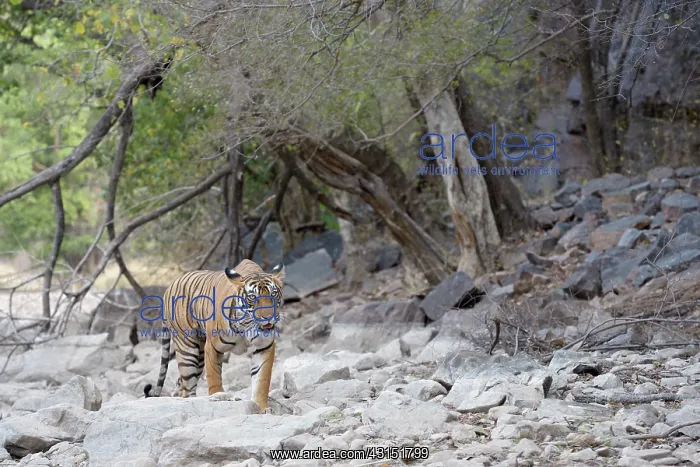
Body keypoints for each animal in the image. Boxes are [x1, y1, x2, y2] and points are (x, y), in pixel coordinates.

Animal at [142, 259, 285, 412]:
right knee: (187, 388)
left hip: (199, 357)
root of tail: (169, 287)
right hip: (188, 350)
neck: (246, 325)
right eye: (253, 297)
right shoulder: (213, 347)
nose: (268, 317)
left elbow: (262, 380)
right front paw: (219, 397)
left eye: (274, 294)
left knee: (181, 384)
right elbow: (214, 377)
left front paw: (262, 407)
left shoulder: (263, 347)